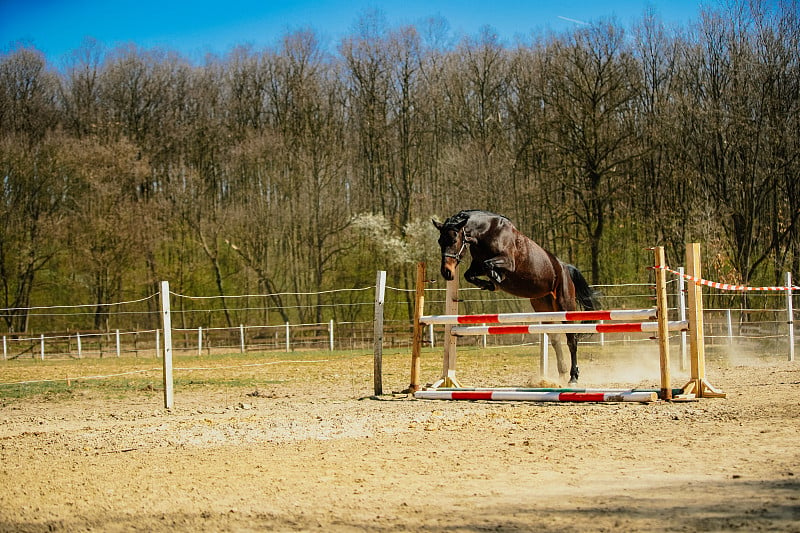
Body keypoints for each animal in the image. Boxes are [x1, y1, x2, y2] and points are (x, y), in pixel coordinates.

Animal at [432, 209, 600, 382]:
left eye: (454, 240)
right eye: (440, 241)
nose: (446, 272)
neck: (486, 233)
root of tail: (564, 267)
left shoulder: (507, 262)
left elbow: (488, 265)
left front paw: (496, 278)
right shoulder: (476, 265)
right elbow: (469, 274)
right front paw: (489, 284)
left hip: (565, 305)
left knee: (572, 340)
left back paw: (573, 376)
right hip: (544, 307)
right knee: (555, 339)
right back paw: (561, 373)